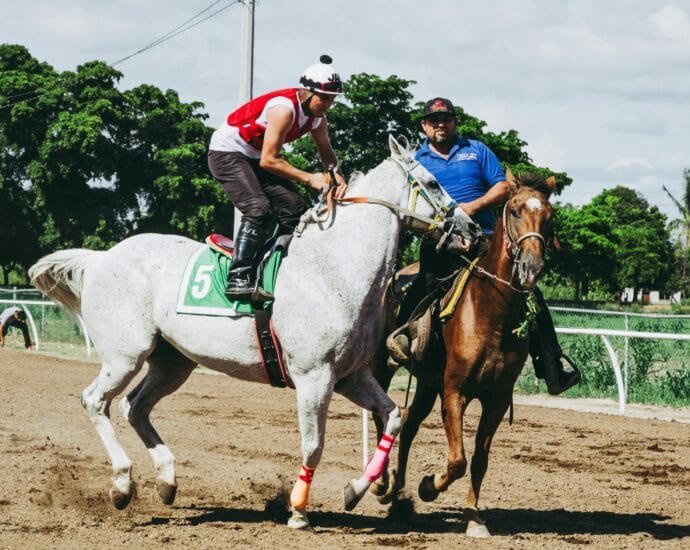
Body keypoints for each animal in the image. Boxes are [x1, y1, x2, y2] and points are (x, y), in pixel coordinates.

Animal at [28, 135, 481, 530]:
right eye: (433, 183)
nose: (472, 231)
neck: (334, 269)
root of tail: (100, 259)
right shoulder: (314, 377)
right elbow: (313, 444)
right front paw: (298, 509)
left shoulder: (350, 375)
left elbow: (392, 417)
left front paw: (355, 490)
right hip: (125, 355)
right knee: (96, 401)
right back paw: (123, 483)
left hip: (172, 362)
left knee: (135, 406)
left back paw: (167, 481)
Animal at [371, 169, 556, 537]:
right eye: (515, 210)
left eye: (549, 217)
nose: (531, 267)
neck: (492, 314)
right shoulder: (454, 392)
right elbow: (456, 461)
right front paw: (429, 486)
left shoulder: (497, 399)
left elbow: (479, 460)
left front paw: (473, 516)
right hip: (384, 367)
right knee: (382, 415)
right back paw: (382, 484)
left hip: (428, 383)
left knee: (409, 423)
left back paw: (398, 495)